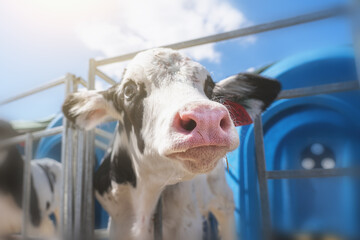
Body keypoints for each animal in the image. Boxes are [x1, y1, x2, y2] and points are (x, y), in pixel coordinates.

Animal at [62, 47, 282, 240]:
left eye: (210, 87)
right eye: (128, 89)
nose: (206, 117)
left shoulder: (187, 224)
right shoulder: (119, 223)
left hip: (222, 196)